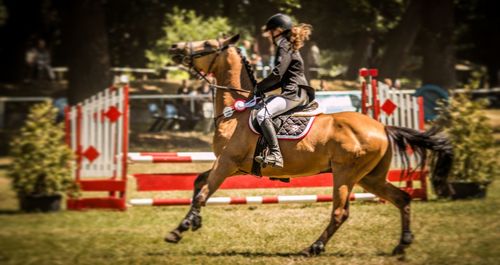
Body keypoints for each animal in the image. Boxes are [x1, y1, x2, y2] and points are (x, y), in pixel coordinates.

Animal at [164, 34, 454, 255]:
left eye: (206, 44)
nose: (175, 47)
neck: (237, 112)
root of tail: (382, 127)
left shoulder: (227, 163)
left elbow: (203, 192)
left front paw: (179, 229)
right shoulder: (233, 166)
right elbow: (199, 182)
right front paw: (193, 221)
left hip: (346, 174)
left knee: (340, 212)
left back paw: (313, 247)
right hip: (370, 178)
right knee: (402, 198)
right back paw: (402, 244)